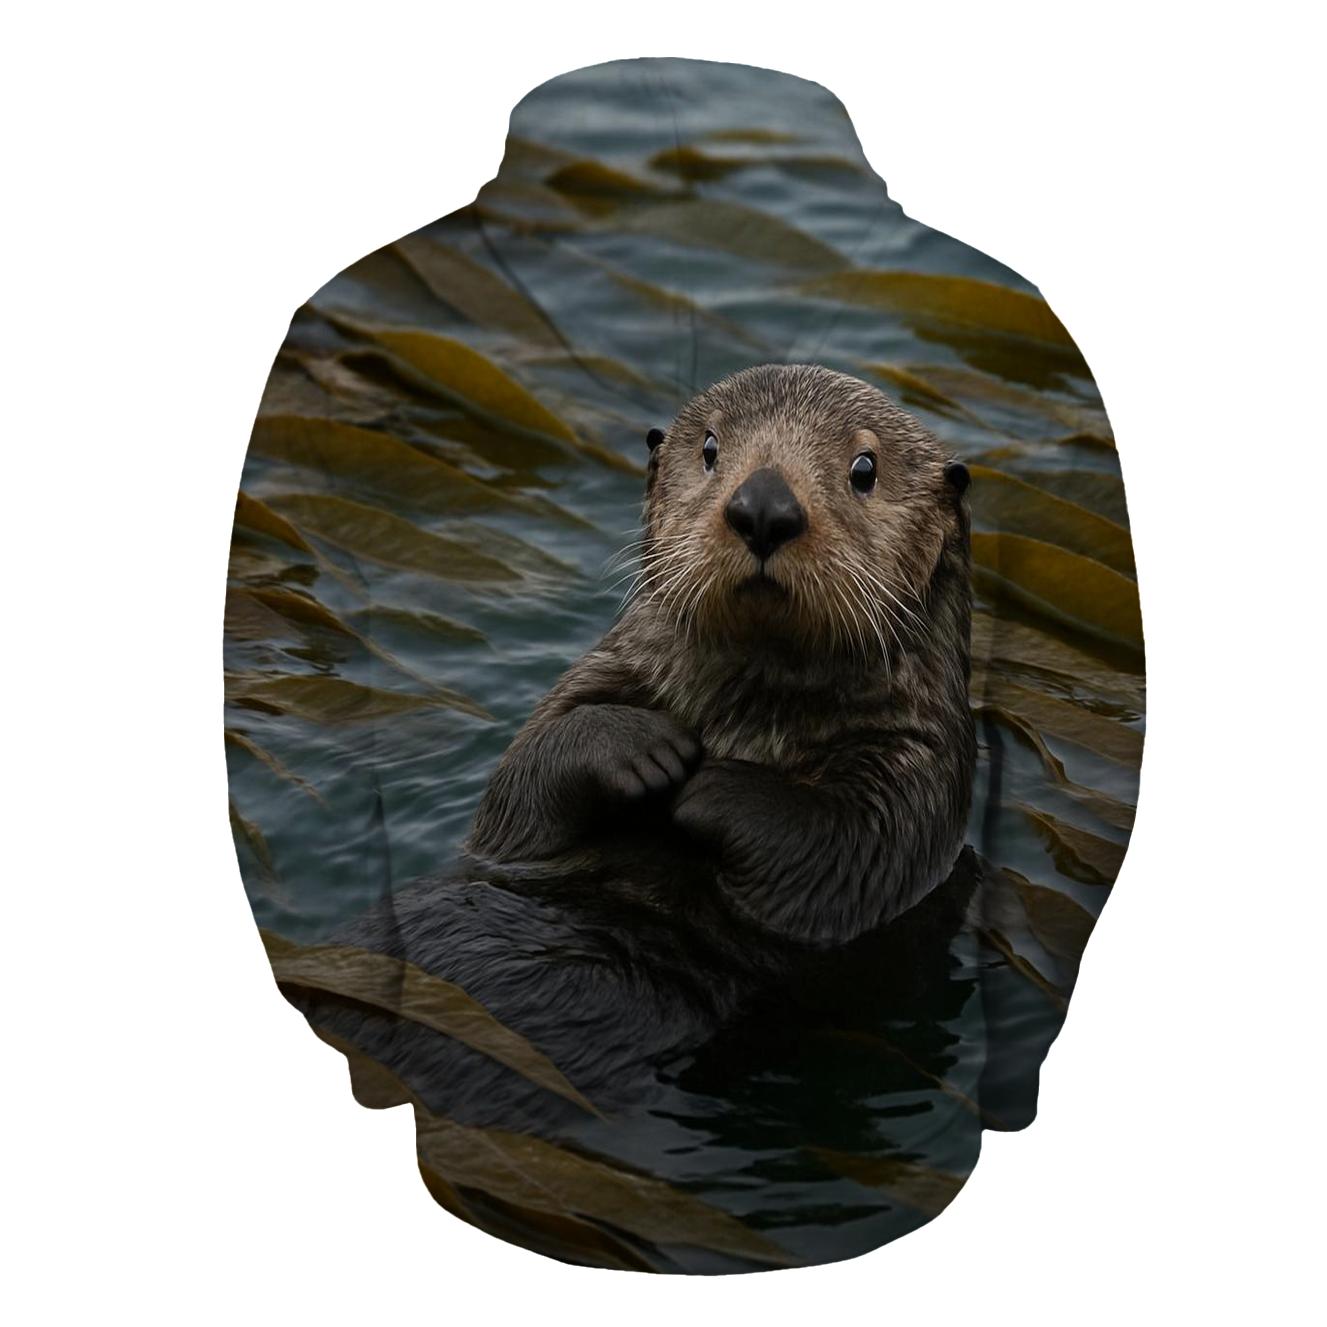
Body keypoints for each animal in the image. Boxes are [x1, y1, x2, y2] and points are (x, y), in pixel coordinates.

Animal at [291, 364, 976, 1127]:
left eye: (865, 468)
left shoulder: (918, 768)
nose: (763, 506)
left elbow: (847, 848)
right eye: (709, 448)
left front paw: (707, 790)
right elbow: (521, 784)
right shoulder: (599, 679)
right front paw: (649, 749)